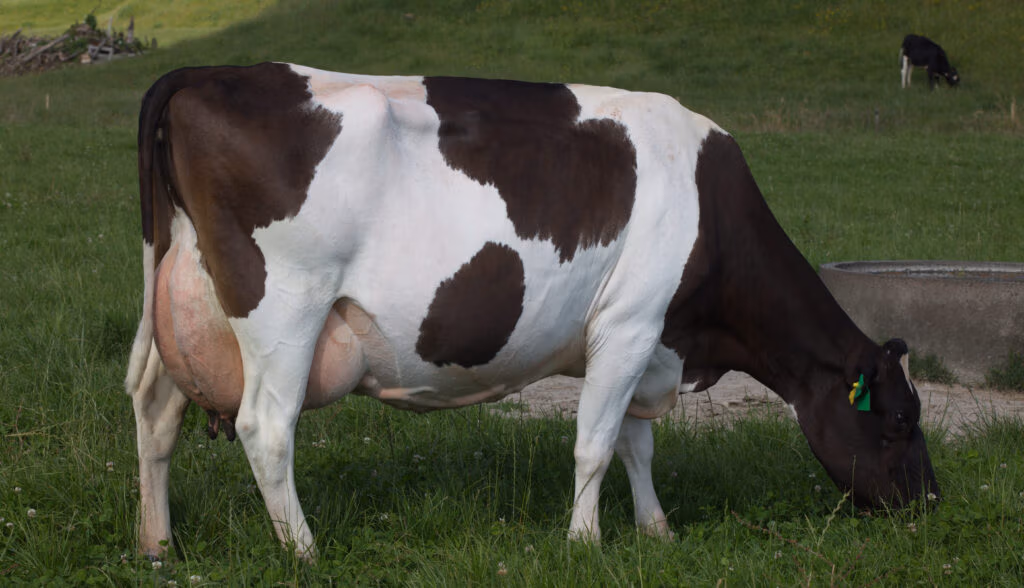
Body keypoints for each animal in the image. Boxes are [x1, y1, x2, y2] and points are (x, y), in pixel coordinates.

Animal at [126, 63, 939, 561]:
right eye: (900, 420)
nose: (930, 504)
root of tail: (210, 73)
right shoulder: (631, 323)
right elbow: (596, 443)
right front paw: (585, 543)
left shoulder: (644, 343)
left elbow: (636, 443)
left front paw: (656, 530)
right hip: (284, 306)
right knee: (266, 427)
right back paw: (304, 550)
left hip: (179, 301)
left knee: (154, 409)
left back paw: (157, 543)